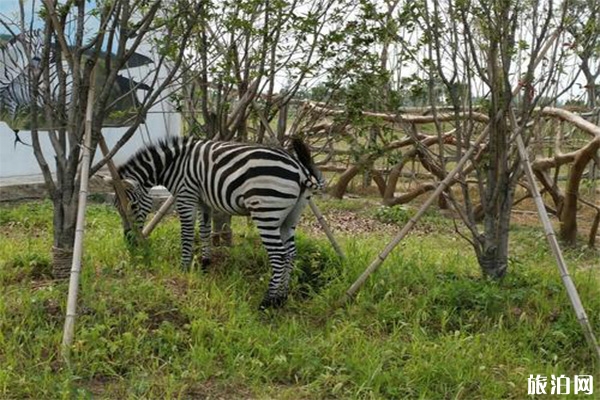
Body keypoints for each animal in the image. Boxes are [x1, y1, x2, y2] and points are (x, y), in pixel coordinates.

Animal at [112, 138, 324, 310]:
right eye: (118, 208)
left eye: (132, 206)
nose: (129, 240)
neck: (173, 163)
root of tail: (300, 169)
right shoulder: (203, 201)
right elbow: (204, 230)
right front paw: (205, 263)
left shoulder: (186, 195)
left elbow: (187, 234)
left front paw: (183, 267)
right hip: (290, 218)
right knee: (290, 253)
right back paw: (282, 297)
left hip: (266, 212)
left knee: (279, 255)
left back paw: (268, 301)